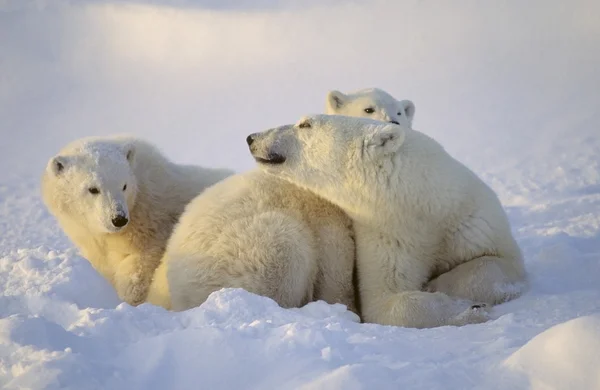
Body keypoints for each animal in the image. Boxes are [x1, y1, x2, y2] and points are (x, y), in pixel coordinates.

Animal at [149, 87, 412, 312]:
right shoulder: (324, 213)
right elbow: (335, 263)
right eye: (369, 109)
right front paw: (347, 309)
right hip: (245, 252)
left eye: (400, 111)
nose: (394, 122)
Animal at [246, 114, 528, 328]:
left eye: (305, 123)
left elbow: (498, 261)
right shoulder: (388, 232)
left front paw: (441, 286)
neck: (420, 202)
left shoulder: (470, 219)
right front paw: (464, 308)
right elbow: (384, 299)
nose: (252, 138)